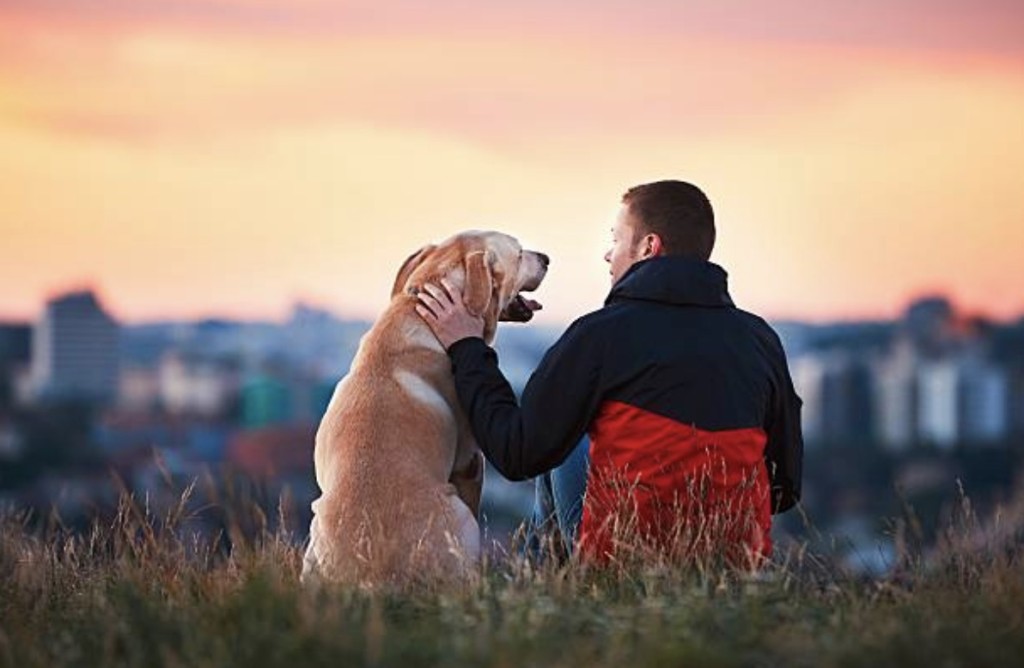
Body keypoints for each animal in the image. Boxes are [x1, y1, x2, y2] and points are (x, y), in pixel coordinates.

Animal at [299, 229, 548, 586]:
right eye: (518, 253)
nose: (546, 259)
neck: (418, 311)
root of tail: (371, 576)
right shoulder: (470, 461)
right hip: (458, 514)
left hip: (313, 534)